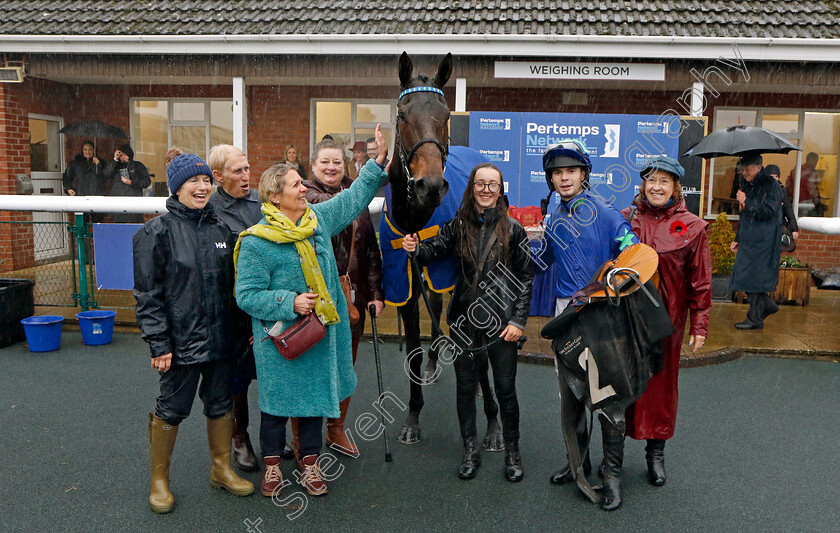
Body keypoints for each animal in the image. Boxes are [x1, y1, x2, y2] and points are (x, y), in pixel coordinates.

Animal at [384, 52, 502, 446]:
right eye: (402, 114)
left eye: (447, 114)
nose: (431, 185)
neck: (416, 217)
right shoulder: (404, 279)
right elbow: (414, 350)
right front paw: (412, 417)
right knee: (434, 304)